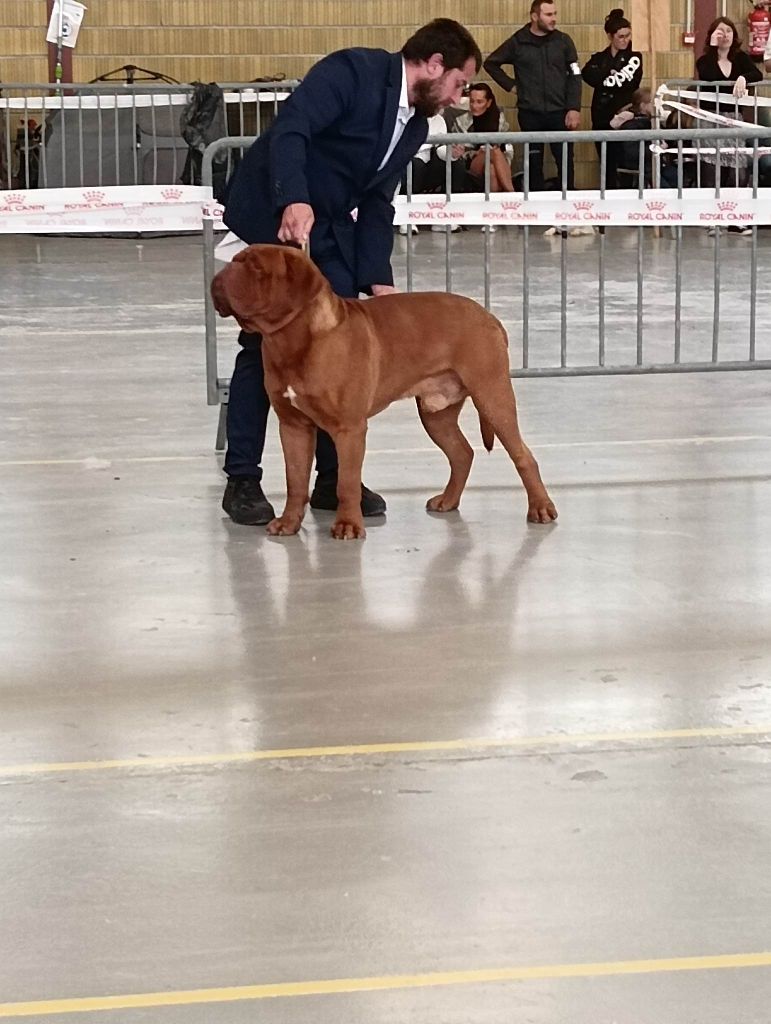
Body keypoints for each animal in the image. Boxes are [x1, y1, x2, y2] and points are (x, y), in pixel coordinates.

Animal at [211, 244, 557, 539]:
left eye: (256, 267)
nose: (221, 274)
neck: (292, 340)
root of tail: (489, 316)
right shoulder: (293, 426)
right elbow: (295, 480)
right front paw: (288, 522)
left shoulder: (349, 428)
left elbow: (347, 482)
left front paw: (348, 525)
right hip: (436, 415)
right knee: (462, 453)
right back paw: (448, 500)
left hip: (492, 396)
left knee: (523, 455)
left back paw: (541, 508)